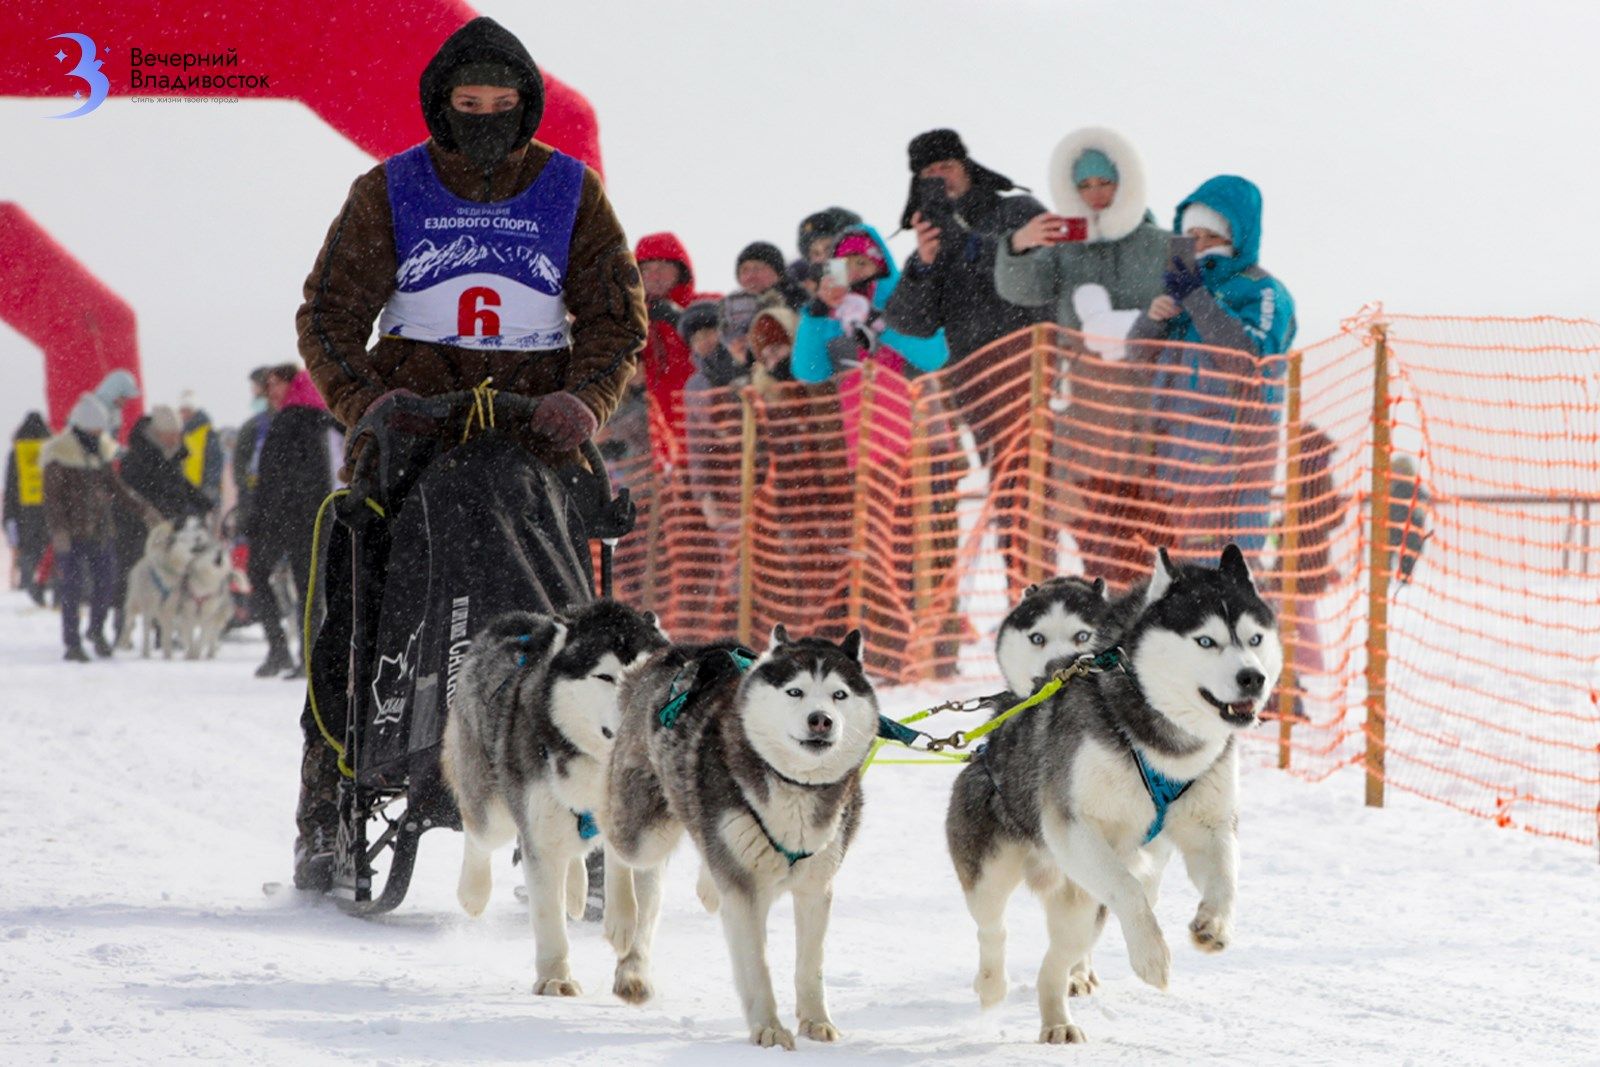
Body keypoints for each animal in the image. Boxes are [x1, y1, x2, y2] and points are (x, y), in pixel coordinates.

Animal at [441, 604, 665, 998]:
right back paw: (474, 891)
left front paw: (633, 971)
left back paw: (579, 892)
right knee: (479, 834)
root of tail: (518, 620)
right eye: (605, 676)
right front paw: (555, 977)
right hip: (494, 809)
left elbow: (641, 910)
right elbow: (548, 916)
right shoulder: (539, 840)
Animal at [601, 627, 883, 1049]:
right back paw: (620, 919)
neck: (794, 788)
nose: (821, 720)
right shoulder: (744, 894)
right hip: (644, 829)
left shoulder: (816, 887)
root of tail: (676, 651)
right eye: (795, 692)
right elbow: (758, 965)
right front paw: (769, 1027)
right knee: (614, 840)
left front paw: (816, 1020)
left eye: (839, 694)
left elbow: (811, 964)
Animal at [940, 547, 1280, 1049]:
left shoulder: (1208, 825)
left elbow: (1226, 876)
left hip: (1084, 907)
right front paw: (1152, 956)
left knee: (1057, 960)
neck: (1163, 738)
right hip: (994, 873)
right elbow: (1129, 889)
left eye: (1255, 638)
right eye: (1205, 641)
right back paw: (992, 984)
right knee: (992, 929)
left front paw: (1214, 924)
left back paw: (1056, 1018)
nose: (1252, 677)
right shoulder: (1073, 827)